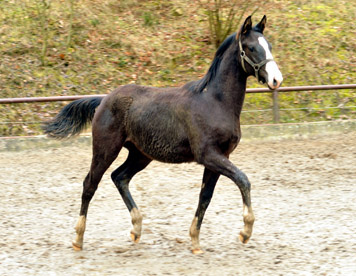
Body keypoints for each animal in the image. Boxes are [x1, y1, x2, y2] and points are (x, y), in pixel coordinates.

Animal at [43, 14, 284, 252]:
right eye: (251, 48)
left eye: (269, 46)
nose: (276, 80)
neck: (215, 102)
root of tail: (104, 100)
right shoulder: (208, 155)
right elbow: (243, 180)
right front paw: (245, 232)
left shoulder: (220, 157)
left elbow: (205, 197)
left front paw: (195, 241)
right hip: (105, 149)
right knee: (90, 184)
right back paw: (78, 238)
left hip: (140, 155)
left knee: (119, 177)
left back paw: (136, 229)